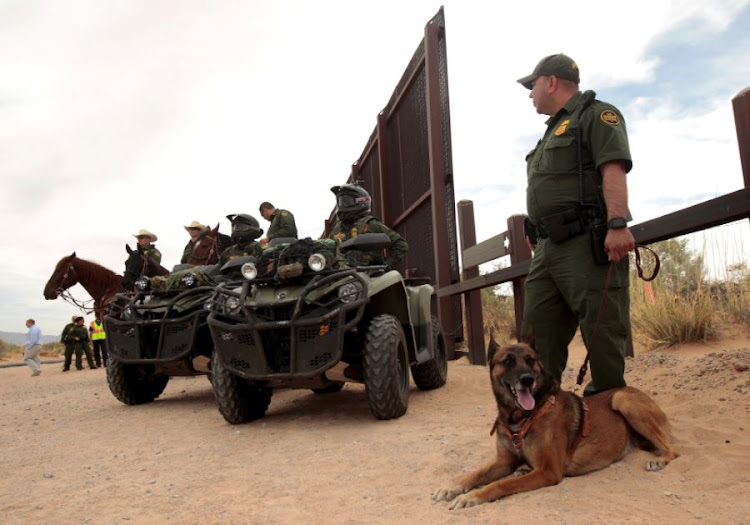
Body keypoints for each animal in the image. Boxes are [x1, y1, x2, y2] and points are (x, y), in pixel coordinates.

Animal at [432, 338, 680, 510]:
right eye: (508, 361)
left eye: (530, 360)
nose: (527, 379)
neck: (521, 418)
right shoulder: (504, 460)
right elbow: (474, 474)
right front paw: (451, 487)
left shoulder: (548, 471)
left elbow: (499, 484)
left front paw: (471, 496)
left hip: (622, 400)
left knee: (673, 450)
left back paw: (660, 460)